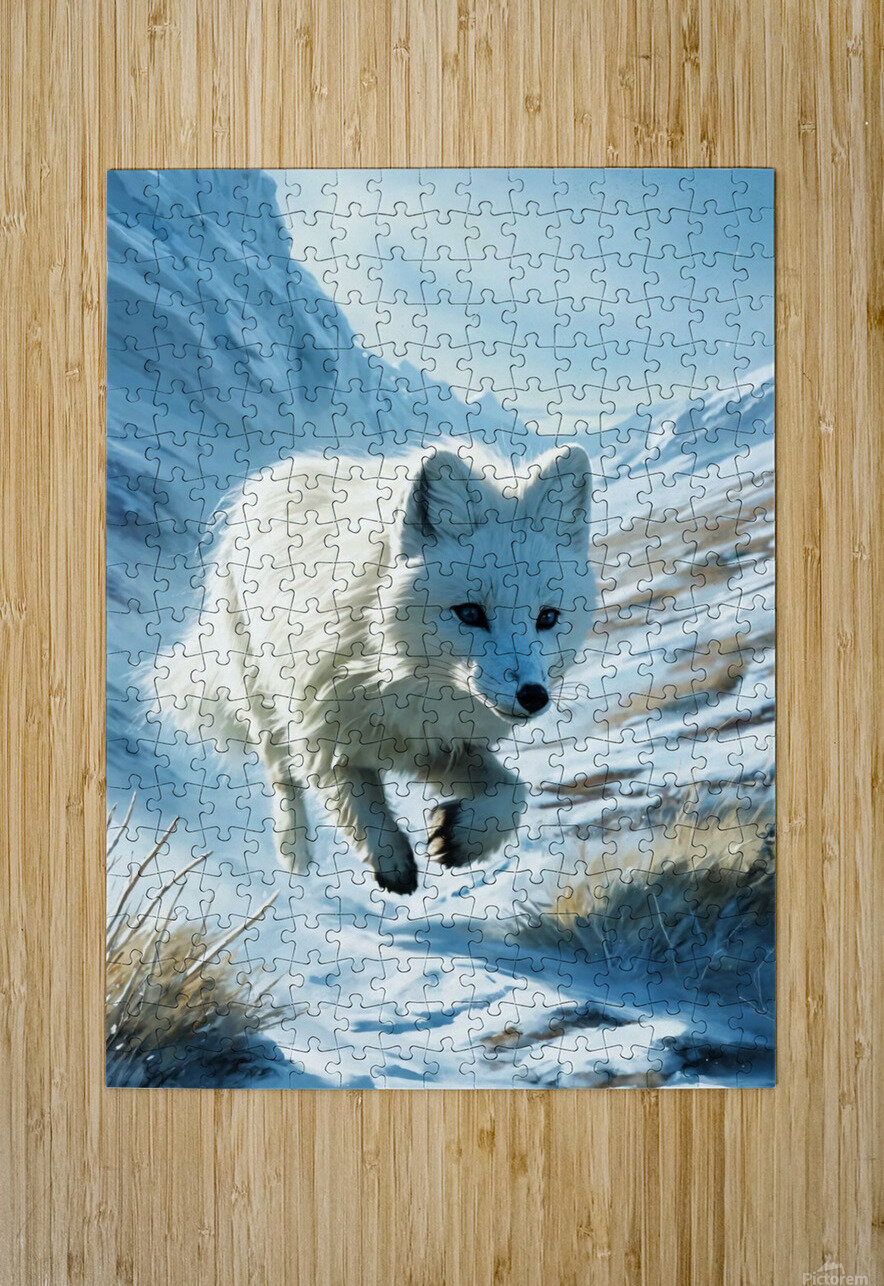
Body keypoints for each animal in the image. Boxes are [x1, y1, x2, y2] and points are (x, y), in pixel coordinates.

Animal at [157, 442, 595, 895]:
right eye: (470, 613)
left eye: (547, 618)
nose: (533, 696)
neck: (394, 672)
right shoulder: (321, 726)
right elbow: (358, 802)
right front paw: (391, 861)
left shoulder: (438, 743)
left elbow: (513, 793)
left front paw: (462, 838)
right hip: (259, 695)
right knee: (280, 776)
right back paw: (295, 860)